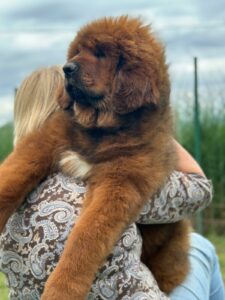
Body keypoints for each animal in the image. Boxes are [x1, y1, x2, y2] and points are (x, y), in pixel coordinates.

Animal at [0, 17, 190, 300]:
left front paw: (62, 289)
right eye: (77, 52)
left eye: (101, 54)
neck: (100, 131)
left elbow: (86, 237)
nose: (67, 68)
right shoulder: (44, 143)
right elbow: (11, 180)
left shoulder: (121, 181)